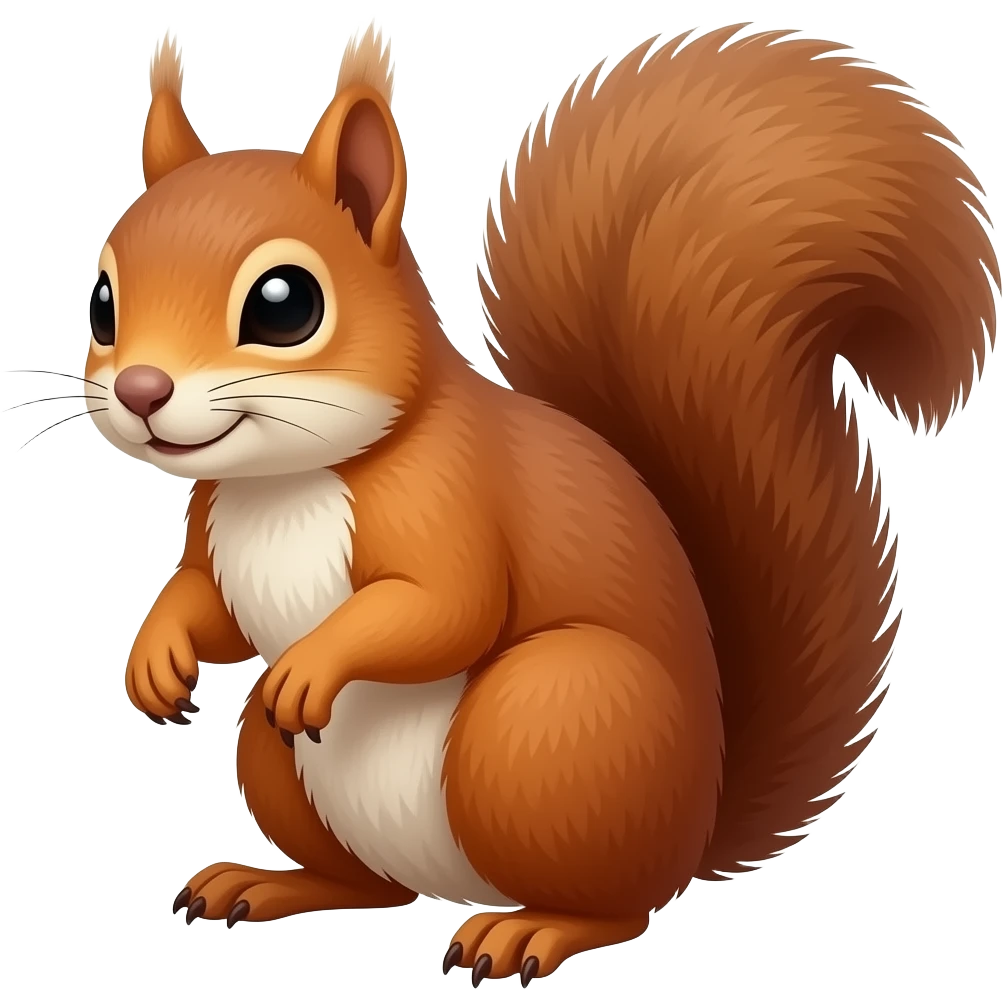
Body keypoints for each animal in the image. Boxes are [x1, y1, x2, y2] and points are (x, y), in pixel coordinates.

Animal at [86, 16, 996, 988]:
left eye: (285, 304)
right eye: (102, 301)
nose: (141, 390)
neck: (285, 482)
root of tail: (697, 825)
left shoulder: (451, 498)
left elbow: (448, 608)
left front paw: (310, 663)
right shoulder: (215, 530)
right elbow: (208, 608)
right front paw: (154, 658)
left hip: (549, 719)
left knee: (618, 904)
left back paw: (532, 930)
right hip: (283, 760)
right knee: (372, 885)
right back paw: (270, 884)